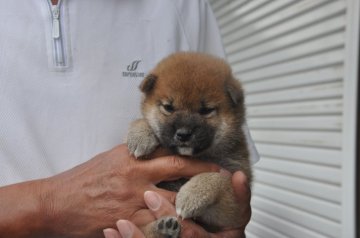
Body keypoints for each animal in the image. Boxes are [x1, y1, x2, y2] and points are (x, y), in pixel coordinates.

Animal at [128, 52, 252, 238]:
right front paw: (140, 135)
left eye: (206, 110)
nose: (184, 133)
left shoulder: (230, 210)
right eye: (168, 107)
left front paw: (190, 195)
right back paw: (162, 229)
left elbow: (217, 177)